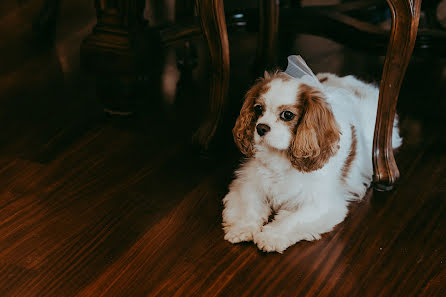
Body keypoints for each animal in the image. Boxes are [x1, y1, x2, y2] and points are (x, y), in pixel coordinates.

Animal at [222, 70, 400, 251]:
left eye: (287, 115)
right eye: (258, 108)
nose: (261, 128)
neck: (279, 157)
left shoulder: (319, 203)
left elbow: (291, 220)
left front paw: (271, 236)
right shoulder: (249, 183)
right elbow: (248, 205)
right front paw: (243, 227)